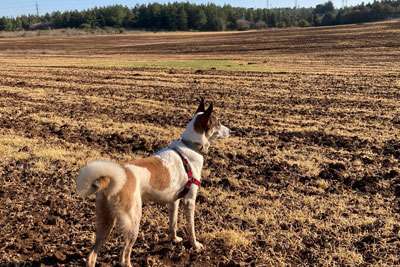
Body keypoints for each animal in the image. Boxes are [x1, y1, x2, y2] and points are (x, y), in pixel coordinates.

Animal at [76, 99, 230, 267]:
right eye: (218, 123)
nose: (231, 131)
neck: (190, 145)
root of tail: (113, 178)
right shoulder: (189, 201)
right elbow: (191, 228)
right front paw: (195, 245)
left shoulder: (174, 201)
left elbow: (173, 223)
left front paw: (174, 239)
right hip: (133, 222)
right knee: (124, 256)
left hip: (106, 222)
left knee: (92, 255)